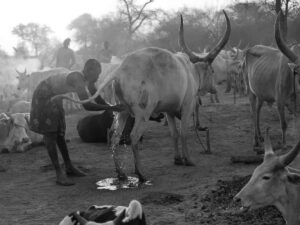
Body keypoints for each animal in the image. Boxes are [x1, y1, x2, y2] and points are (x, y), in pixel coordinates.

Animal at [52, 11, 230, 183]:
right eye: (212, 71)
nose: (215, 88)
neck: (190, 71)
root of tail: (120, 70)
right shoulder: (187, 106)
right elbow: (183, 132)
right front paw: (188, 160)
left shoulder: (169, 111)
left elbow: (174, 133)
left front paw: (178, 159)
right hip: (143, 113)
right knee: (133, 137)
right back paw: (140, 174)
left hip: (122, 111)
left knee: (114, 137)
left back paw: (121, 174)